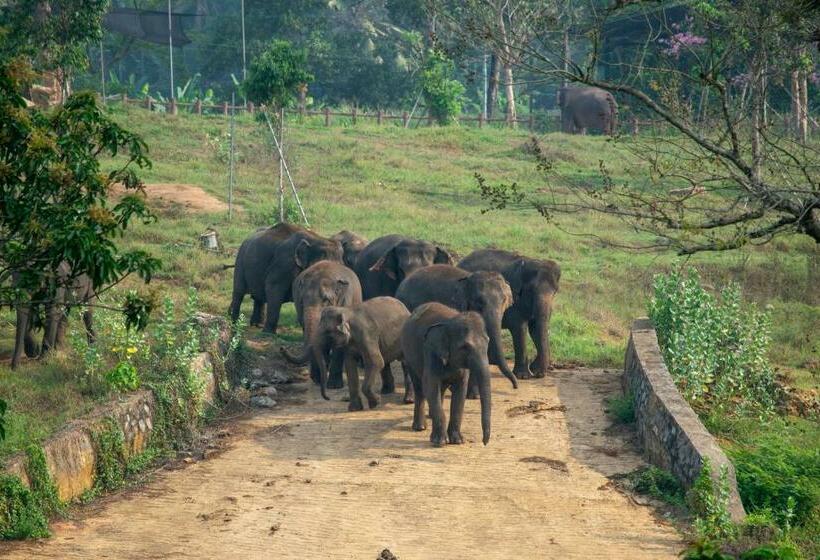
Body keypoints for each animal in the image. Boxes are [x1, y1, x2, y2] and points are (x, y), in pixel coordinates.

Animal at [280, 261, 362, 389]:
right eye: (301, 302)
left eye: (326, 300)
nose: (282, 348)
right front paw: (318, 380)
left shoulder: (346, 303)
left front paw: (334, 386)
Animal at [394, 264, 517, 393]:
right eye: (479, 301)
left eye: (504, 300)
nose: (515, 386)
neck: (468, 278)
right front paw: (472, 394)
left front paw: (472, 394)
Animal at [401, 302, 492, 446]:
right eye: (465, 347)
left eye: (487, 342)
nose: (484, 442)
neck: (450, 322)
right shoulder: (430, 352)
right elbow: (431, 386)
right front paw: (439, 442)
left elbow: (460, 391)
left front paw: (458, 441)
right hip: (409, 356)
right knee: (420, 388)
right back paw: (420, 427)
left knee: (440, 390)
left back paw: (430, 417)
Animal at [459, 249, 560, 378]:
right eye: (531, 289)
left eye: (555, 291)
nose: (537, 373)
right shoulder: (514, 297)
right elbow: (520, 327)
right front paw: (523, 376)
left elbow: (535, 328)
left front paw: (537, 371)